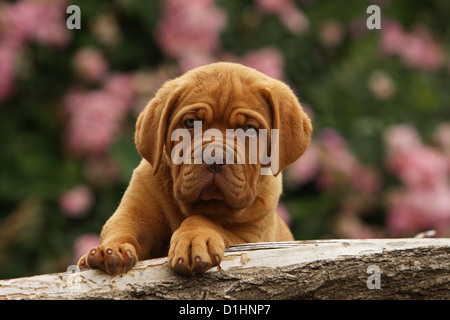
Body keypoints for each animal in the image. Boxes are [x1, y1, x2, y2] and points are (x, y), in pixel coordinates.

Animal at [76, 62, 312, 276]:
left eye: (250, 130)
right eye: (190, 122)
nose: (215, 158)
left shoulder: (249, 238)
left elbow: (206, 221)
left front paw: (194, 240)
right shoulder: (135, 212)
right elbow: (121, 228)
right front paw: (112, 249)